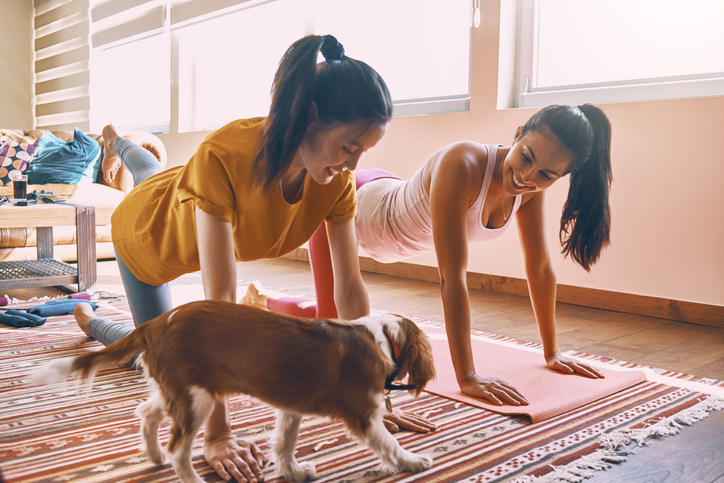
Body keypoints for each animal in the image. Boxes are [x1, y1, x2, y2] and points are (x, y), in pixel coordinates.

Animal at [29, 300, 436, 482]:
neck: (380, 336)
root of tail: (156, 322)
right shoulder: (362, 414)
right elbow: (389, 443)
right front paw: (413, 462)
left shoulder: (290, 407)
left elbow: (284, 442)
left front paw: (292, 471)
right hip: (198, 398)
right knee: (179, 449)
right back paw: (185, 473)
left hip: (178, 389)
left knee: (147, 414)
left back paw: (154, 455)